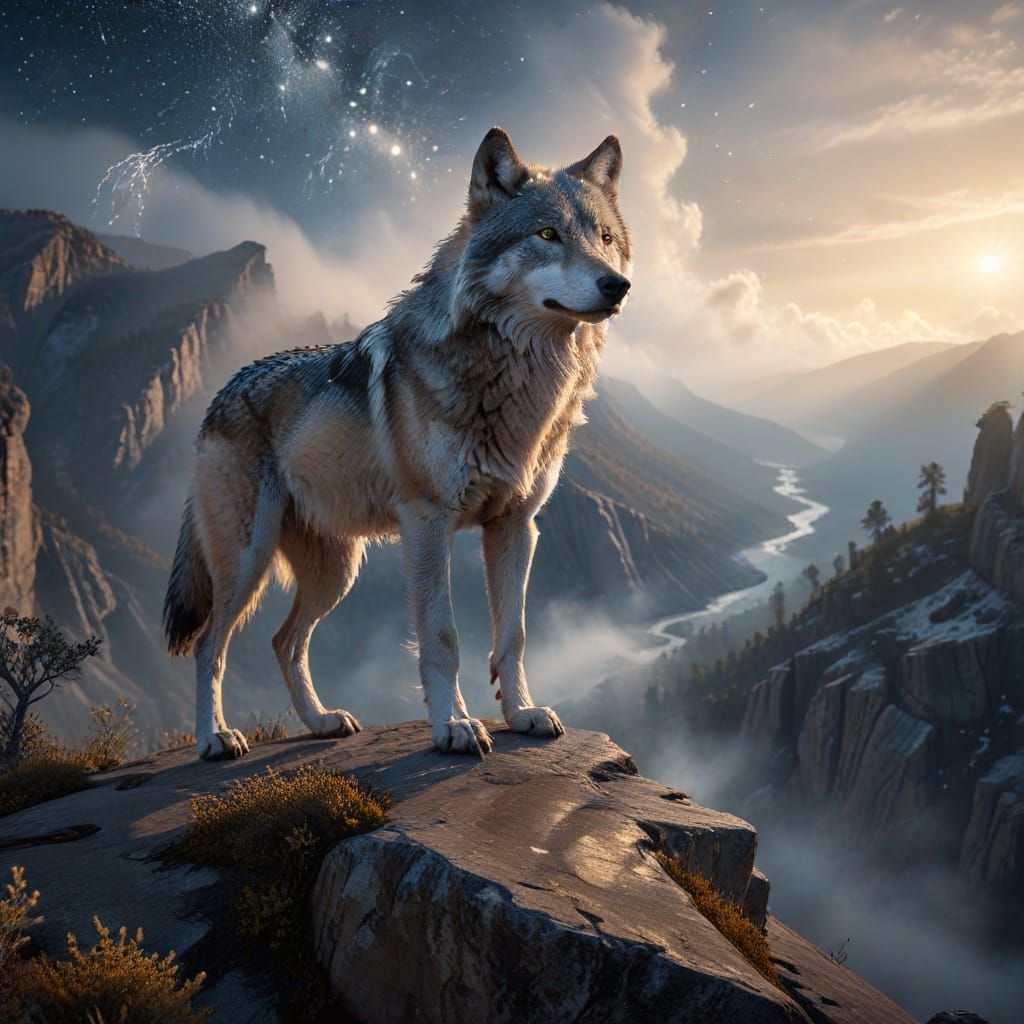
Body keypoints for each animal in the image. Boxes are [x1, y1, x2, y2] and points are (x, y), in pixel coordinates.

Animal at [163, 126, 632, 759]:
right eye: (547, 235)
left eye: (604, 238)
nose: (617, 284)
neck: (516, 380)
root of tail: (218, 397)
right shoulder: (427, 523)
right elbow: (443, 636)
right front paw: (454, 726)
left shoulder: (516, 525)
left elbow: (513, 634)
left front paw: (523, 713)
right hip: (246, 561)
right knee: (210, 646)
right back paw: (215, 737)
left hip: (336, 571)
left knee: (284, 642)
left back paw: (322, 721)